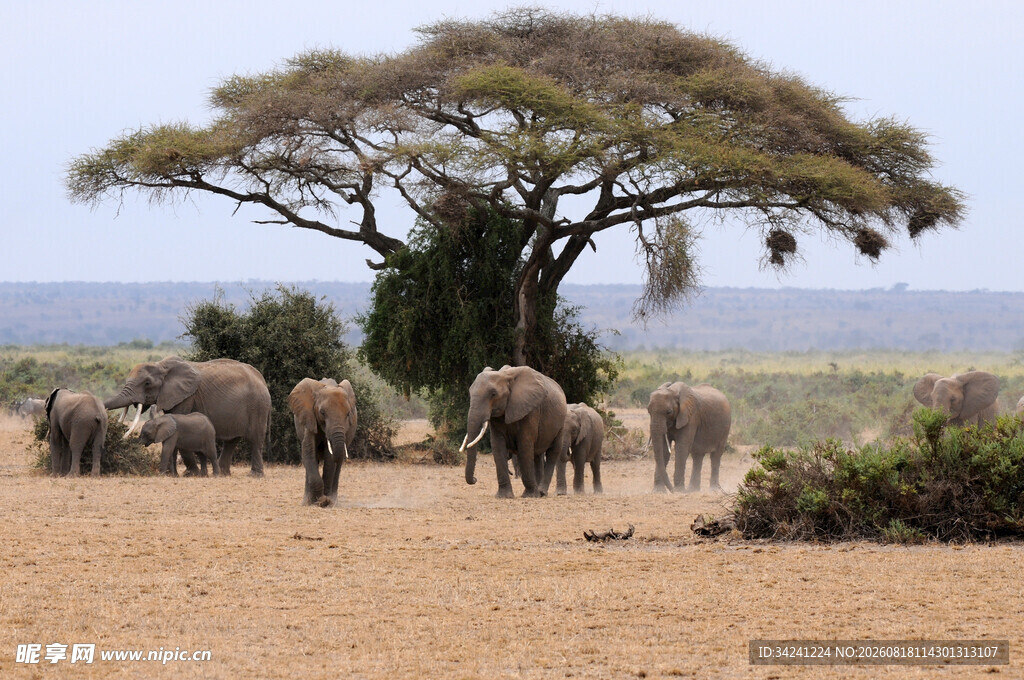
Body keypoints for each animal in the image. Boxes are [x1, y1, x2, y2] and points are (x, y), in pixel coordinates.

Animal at [106, 357, 272, 476]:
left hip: (258, 406)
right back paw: (224, 474)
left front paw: (189, 474)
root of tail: (262, 379)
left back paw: (254, 475)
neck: (161, 365)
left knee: (255, 439)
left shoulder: (186, 396)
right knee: (232, 440)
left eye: (147, 383)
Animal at [289, 378, 357, 506]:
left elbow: (329, 457)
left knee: (338, 466)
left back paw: (333, 501)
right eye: (322, 413)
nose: (324, 499)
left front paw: (325, 501)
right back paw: (307, 502)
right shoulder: (309, 417)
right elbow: (308, 450)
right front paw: (319, 501)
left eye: (348, 414)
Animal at [460, 365, 567, 498]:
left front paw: (529, 495)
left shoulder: (531, 410)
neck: (505, 376)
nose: (475, 479)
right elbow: (497, 446)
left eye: (493, 394)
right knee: (537, 455)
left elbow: (525, 445)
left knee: (553, 451)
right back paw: (538, 491)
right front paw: (504, 496)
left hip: (561, 422)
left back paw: (541, 492)